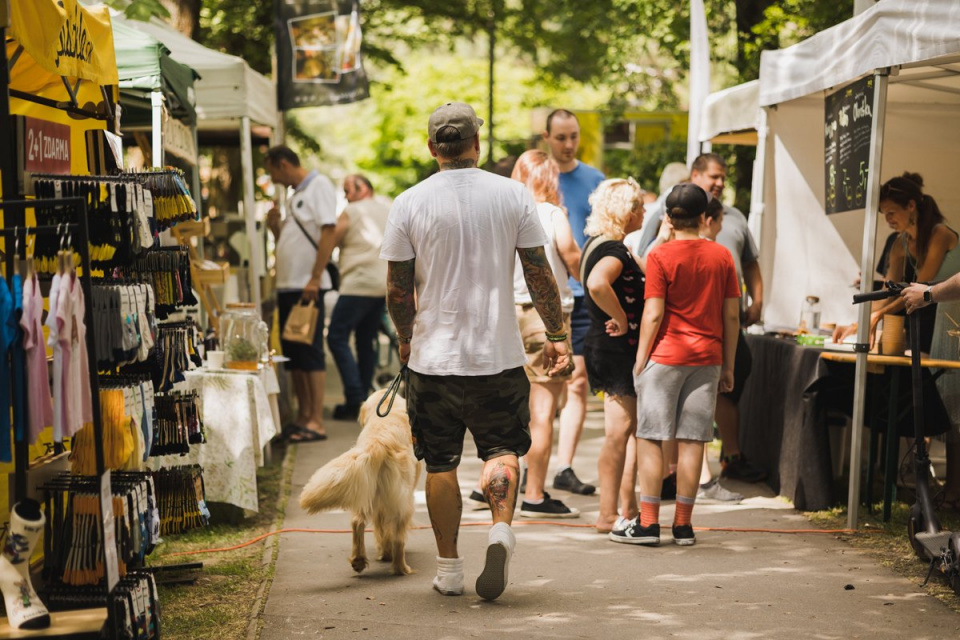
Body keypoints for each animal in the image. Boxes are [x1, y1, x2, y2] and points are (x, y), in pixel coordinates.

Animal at [300, 390, 420, 576]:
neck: (389, 410)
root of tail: (378, 444)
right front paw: (386, 553)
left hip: (365, 493)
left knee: (357, 522)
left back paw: (359, 560)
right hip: (402, 502)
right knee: (398, 538)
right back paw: (400, 567)